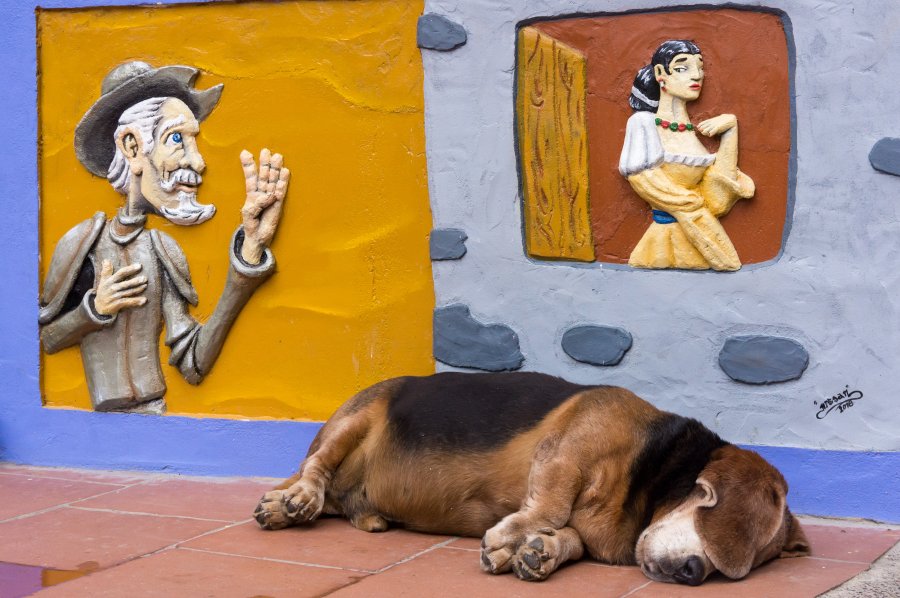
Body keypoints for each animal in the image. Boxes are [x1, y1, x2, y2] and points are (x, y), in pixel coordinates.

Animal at [253, 372, 808, 588]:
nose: (694, 573)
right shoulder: (564, 453)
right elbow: (551, 505)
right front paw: (511, 538)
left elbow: (566, 536)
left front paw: (538, 552)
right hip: (358, 416)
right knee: (316, 471)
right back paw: (292, 499)